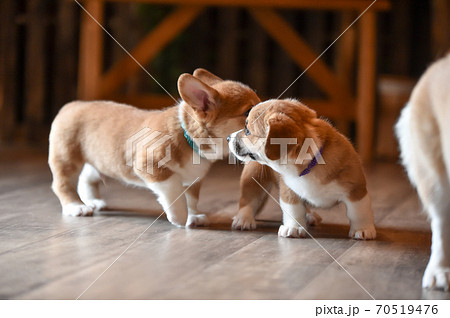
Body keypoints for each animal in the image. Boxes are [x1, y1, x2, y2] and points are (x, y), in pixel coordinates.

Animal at [48, 68, 260, 227]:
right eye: (248, 112)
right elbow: (174, 192)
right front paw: (180, 217)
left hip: (98, 162)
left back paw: (93, 201)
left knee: (86, 178)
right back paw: (76, 206)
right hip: (67, 159)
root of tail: (71, 105)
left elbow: (192, 198)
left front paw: (194, 215)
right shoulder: (153, 168)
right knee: (62, 184)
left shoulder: (193, 180)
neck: (187, 136)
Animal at [229, 98, 376, 240]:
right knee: (248, 200)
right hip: (253, 179)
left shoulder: (356, 190)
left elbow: (358, 213)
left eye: (247, 131)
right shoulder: (289, 191)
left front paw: (362, 230)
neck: (310, 164)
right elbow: (294, 211)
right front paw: (293, 228)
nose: (228, 138)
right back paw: (243, 219)